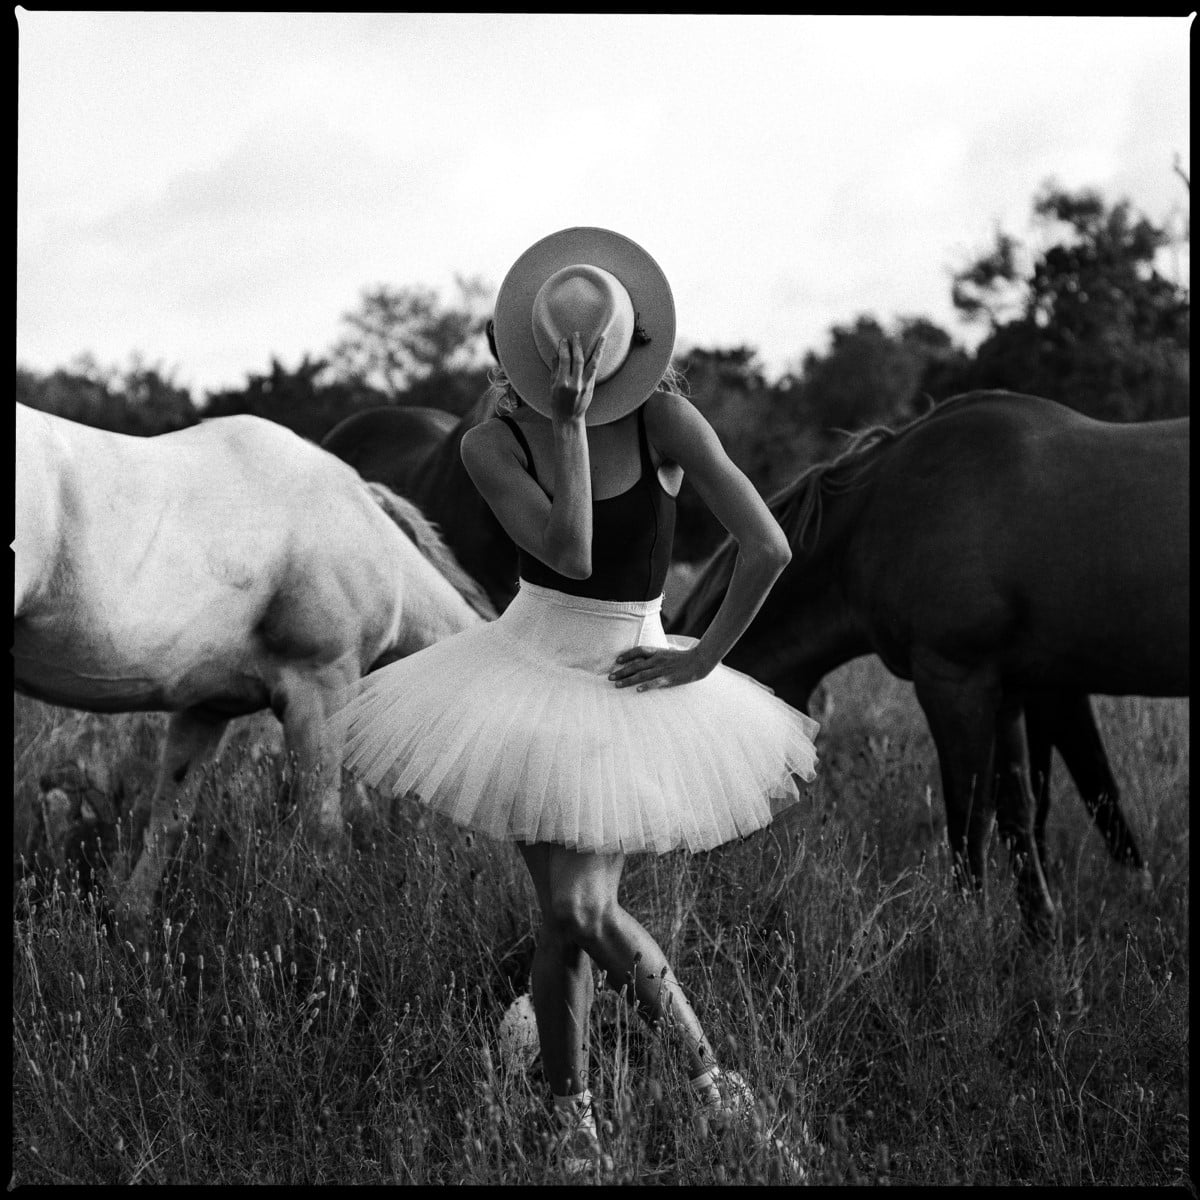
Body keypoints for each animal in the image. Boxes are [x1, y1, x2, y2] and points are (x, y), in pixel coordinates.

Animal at [672, 388, 1185, 931]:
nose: (688, 876)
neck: (878, 515)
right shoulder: (1008, 692)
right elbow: (1019, 812)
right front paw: (1040, 927)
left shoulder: (956, 681)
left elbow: (971, 817)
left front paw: (967, 929)